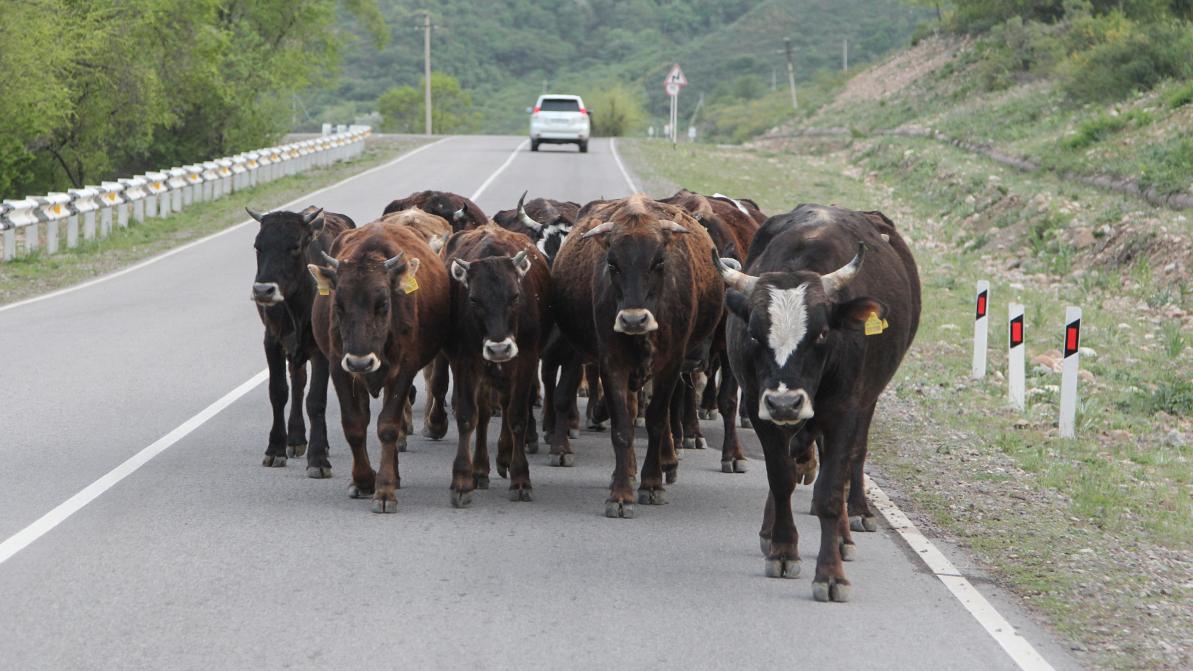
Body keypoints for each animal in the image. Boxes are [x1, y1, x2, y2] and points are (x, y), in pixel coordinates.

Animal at [248, 205, 354, 478]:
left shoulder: (320, 349)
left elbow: (316, 400)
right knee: (297, 382)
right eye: (258, 246)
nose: (263, 290)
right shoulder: (272, 342)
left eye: (295, 246)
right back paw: (295, 438)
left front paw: (318, 458)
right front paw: (275, 449)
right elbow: (278, 392)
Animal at [308, 220, 451, 513]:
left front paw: (384, 490)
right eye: (338, 305)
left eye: (383, 303)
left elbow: (388, 427)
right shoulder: (340, 369)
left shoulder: (403, 371)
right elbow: (354, 425)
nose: (360, 361)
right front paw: (363, 481)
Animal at [442, 225, 552, 505]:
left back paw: (504, 456)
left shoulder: (526, 361)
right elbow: (468, 416)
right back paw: (481, 469)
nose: (499, 348)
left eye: (515, 296)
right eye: (473, 300)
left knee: (504, 405)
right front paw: (462, 480)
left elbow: (517, 416)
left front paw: (521, 478)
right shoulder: (464, 362)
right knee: (483, 413)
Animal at [551, 194, 724, 517]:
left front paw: (652, 484)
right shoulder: (612, 363)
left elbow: (657, 421)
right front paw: (621, 493)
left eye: (658, 261)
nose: (633, 320)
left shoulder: (671, 365)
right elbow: (622, 426)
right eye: (612, 263)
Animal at [713, 203, 920, 602]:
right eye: (754, 334)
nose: (785, 403)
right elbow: (780, 479)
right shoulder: (760, 411)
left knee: (854, 457)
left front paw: (831, 574)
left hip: (866, 402)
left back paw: (850, 523)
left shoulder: (844, 413)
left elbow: (829, 493)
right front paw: (782, 549)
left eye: (822, 333)